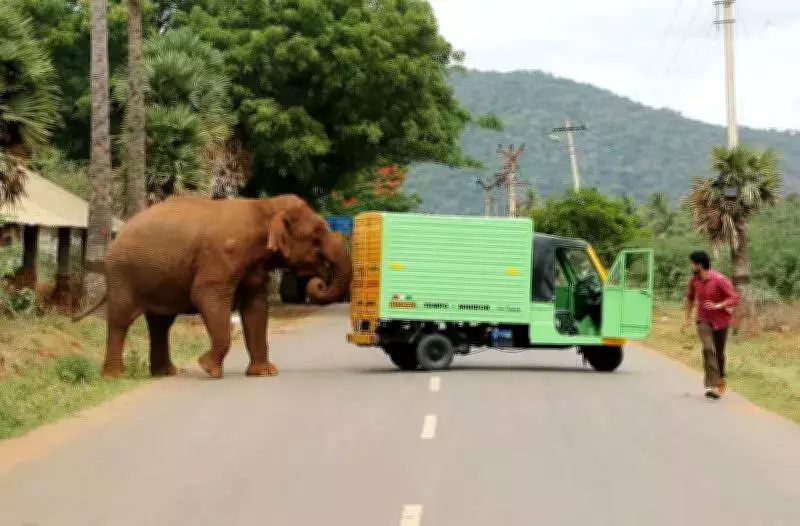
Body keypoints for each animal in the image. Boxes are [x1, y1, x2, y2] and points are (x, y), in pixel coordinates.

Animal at [72, 193, 353, 379]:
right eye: (317, 233)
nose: (317, 281)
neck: (265, 205)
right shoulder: (223, 255)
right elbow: (207, 296)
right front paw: (208, 368)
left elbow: (256, 307)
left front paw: (265, 373)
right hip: (122, 275)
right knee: (121, 321)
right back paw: (115, 376)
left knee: (161, 323)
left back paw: (165, 373)